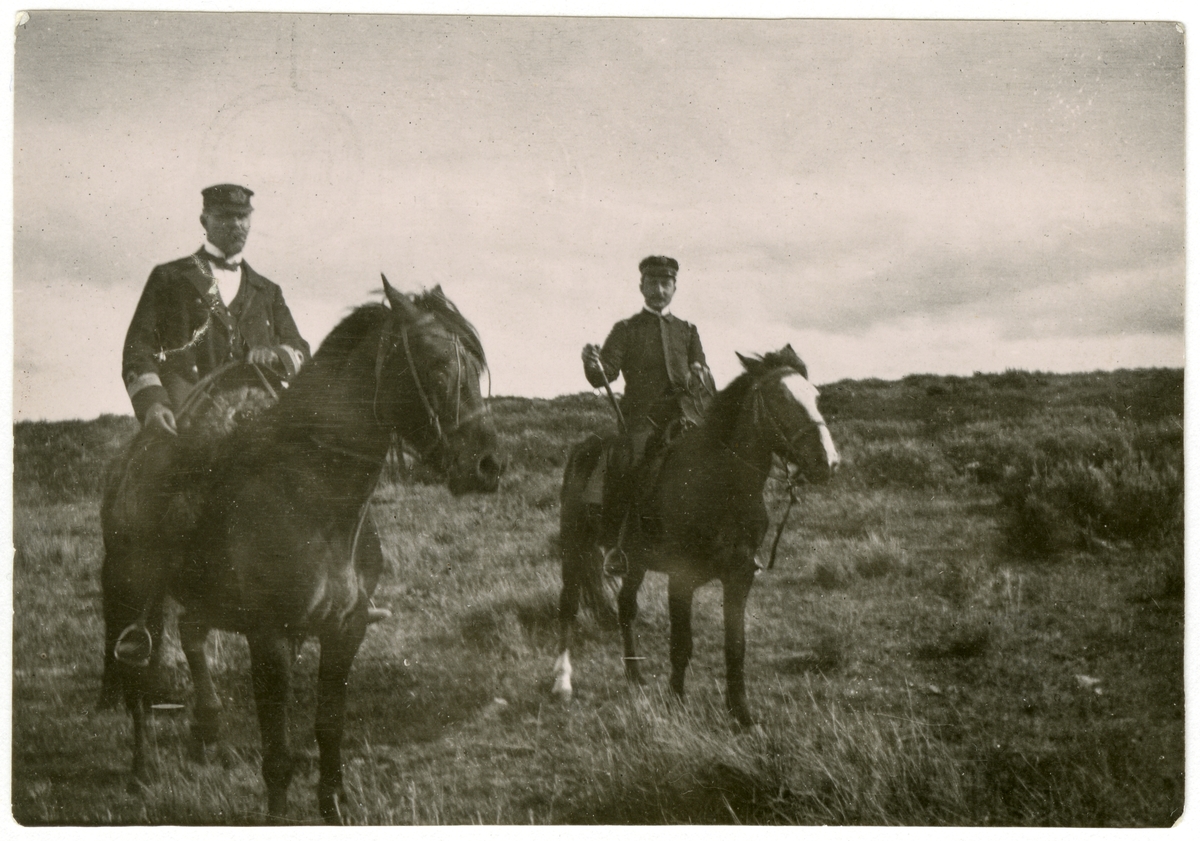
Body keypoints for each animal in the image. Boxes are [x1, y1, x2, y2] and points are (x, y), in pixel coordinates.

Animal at [97, 278, 501, 825]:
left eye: (476, 368)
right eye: (437, 365)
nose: (489, 466)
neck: (314, 499)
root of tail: (127, 463)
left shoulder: (346, 630)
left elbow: (329, 725)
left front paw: (334, 803)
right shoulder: (269, 636)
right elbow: (277, 746)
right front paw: (278, 811)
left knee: (190, 633)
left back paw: (208, 731)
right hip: (131, 590)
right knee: (137, 675)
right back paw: (142, 770)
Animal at [549, 345, 835, 724]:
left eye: (816, 396)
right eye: (780, 398)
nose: (828, 462)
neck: (718, 484)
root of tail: (586, 447)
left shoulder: (739, 576)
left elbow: (735, 645)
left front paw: (741, 713)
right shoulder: (681, 578)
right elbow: (681, 642)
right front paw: (676, 700)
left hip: (634, 560)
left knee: (626, 607)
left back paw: (634, 675)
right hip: (574, 546)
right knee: (568, 605)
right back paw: (562, 683)